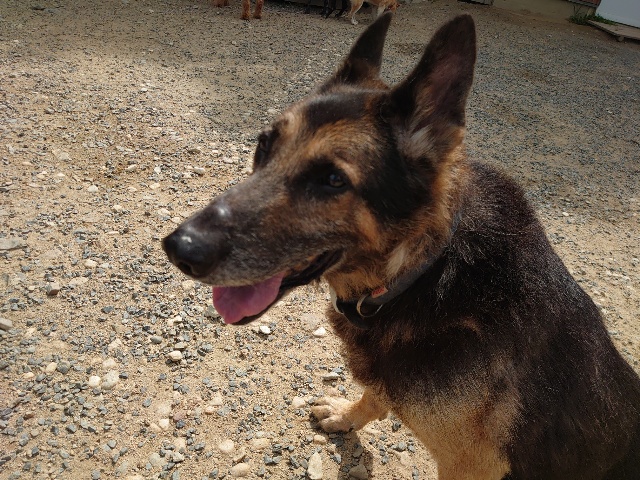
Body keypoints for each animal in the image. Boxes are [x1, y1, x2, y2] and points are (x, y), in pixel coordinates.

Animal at [163, 14, 640, 479]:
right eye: (264, 146)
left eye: (333, 180)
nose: (178, 247)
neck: (426, 272)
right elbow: (376, 394)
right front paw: (347, 416)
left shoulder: (470, 466)